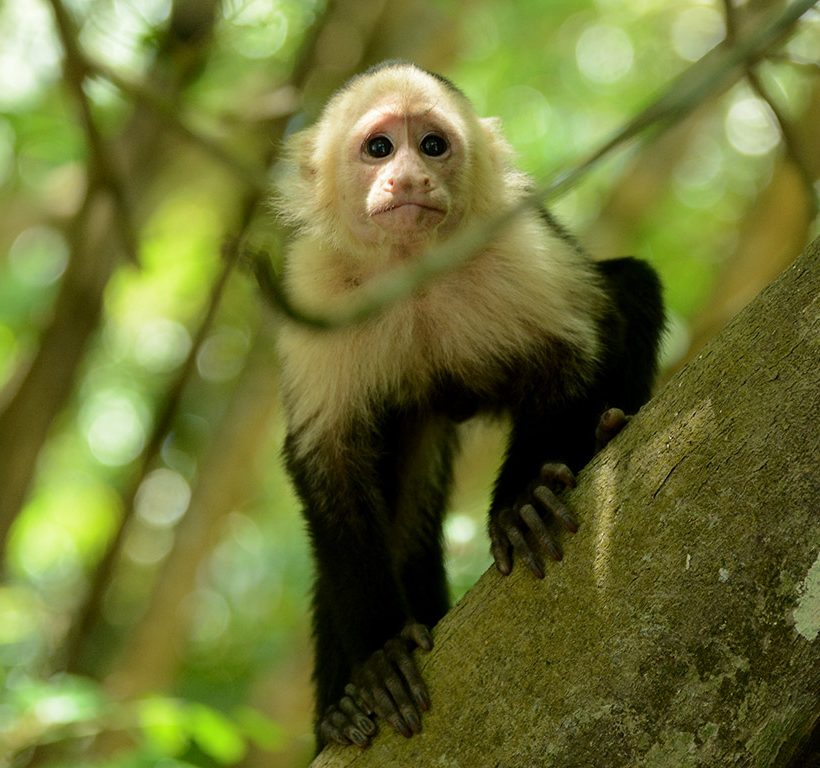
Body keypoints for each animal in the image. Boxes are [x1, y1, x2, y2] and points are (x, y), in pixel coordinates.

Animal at [276, 61, 668, 752]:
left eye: (433, 145)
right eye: (380, 147)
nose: (409, 177)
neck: (413, 268)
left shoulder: (516, 243)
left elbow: (583, 345)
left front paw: (523, 502)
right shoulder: (315, 287)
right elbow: (328, 458)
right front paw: (379, 654)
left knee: (629, 287)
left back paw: (608, 428)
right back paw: (337, 717)